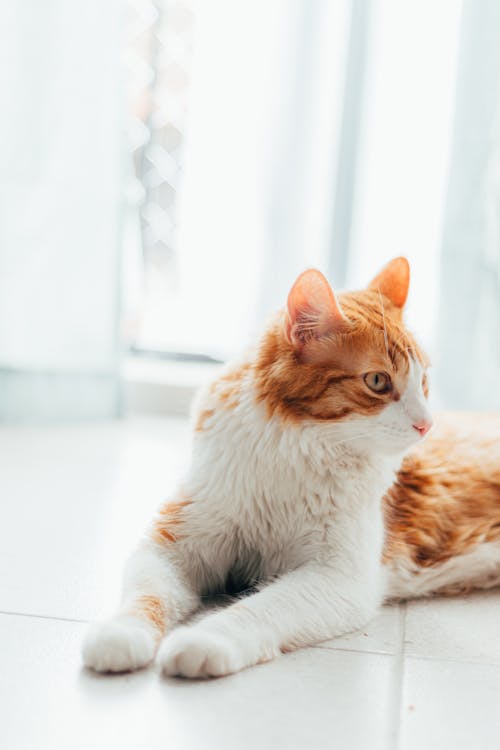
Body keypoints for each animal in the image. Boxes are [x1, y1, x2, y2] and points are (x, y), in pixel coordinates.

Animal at [81, 258, 500, 680]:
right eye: (378, 381)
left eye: (423, 381)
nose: (426, 424)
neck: (297, 452)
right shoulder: (174, 545)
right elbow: (146, 595)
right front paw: (120, 633)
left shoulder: (337, 577)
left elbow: (260, 608)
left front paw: (204, 641)